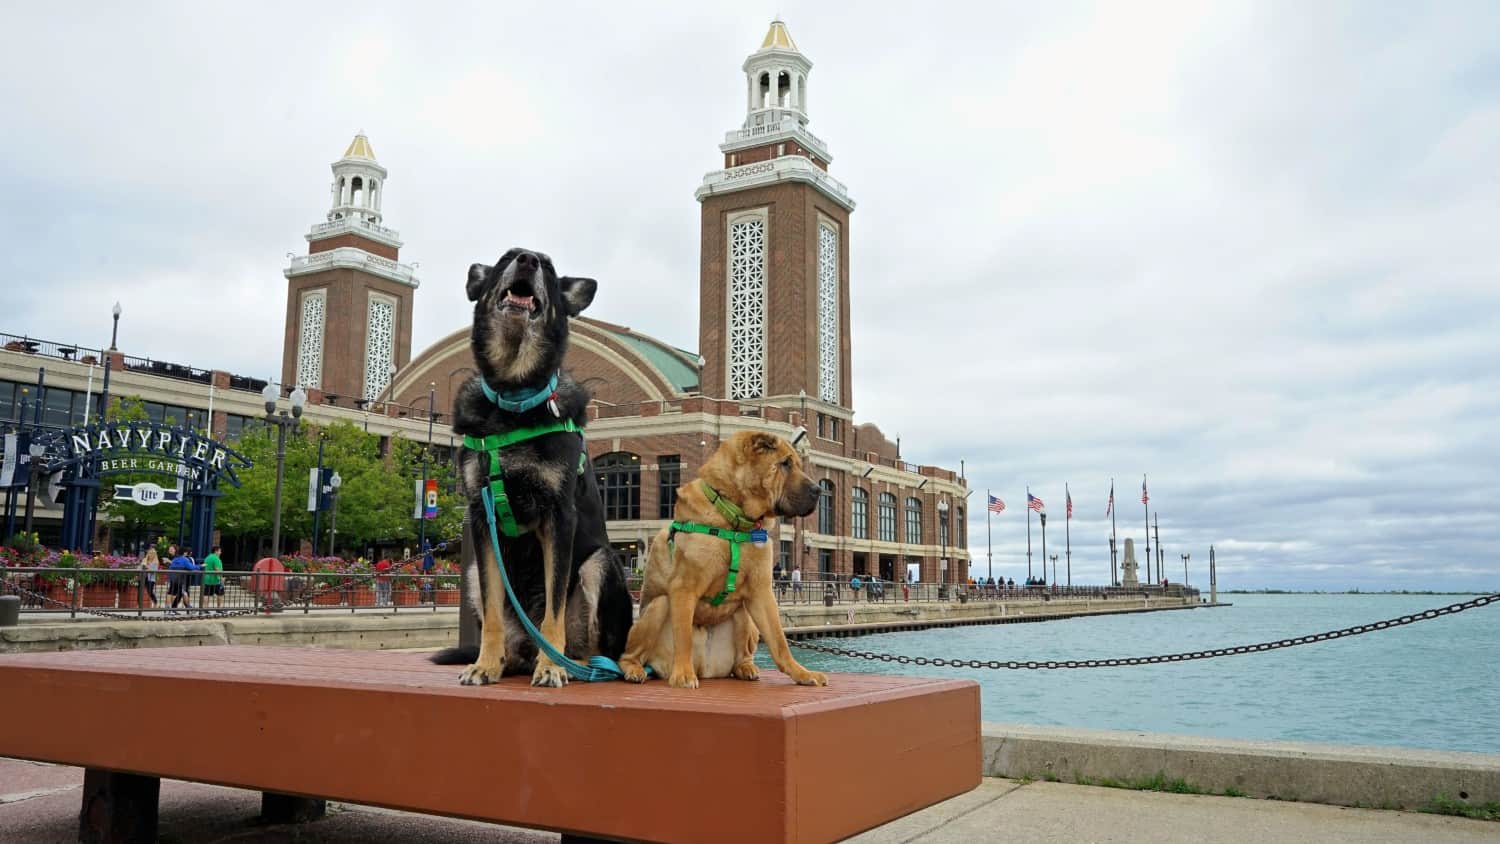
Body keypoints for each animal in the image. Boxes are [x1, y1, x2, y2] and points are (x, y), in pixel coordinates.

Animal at [429, 247, 633, 683]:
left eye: (550, 267)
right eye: (506, 256)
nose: (526, 259)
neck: (513, 397)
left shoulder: (559, 517)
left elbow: (554, 608)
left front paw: (552, 668)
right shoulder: (481, 517)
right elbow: (491, 612)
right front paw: (484, 664)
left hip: (601, 563)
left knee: (593, 649)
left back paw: (571, 665)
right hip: (470, 574)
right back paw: (509, 661)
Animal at [618, 431, 834, 689]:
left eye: (798, 464)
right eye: (784, 464)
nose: (818, 491)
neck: (735, 518)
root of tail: (705, 668)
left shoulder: (761, 591)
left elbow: (779, 641)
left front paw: (802, 673)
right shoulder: (684, 588)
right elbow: (684, 637)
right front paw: (683, 675)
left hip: (745, 615)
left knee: (744, 653)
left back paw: (746, 668)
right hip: (657, 607)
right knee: (629, 654)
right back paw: (635, 670)